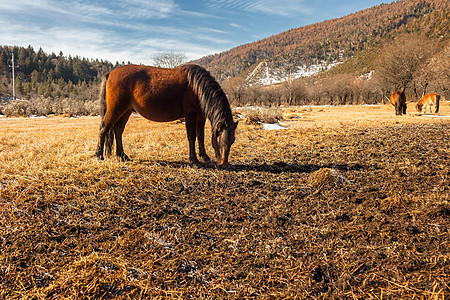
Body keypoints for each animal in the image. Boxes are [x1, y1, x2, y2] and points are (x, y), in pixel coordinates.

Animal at [95, 64, 239, 168]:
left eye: (232, 140)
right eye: (220, 138)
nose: (223, 163)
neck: (196, 86)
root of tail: (110, 73)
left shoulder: (201, 116)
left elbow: (200, 136)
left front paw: (204, 156)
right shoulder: (190, 115)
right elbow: (192, 137)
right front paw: (194, 160)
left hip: (126, 111)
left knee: (118, 130)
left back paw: (122, 156)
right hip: (116, 109)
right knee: (104, 128)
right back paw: (99, 155)